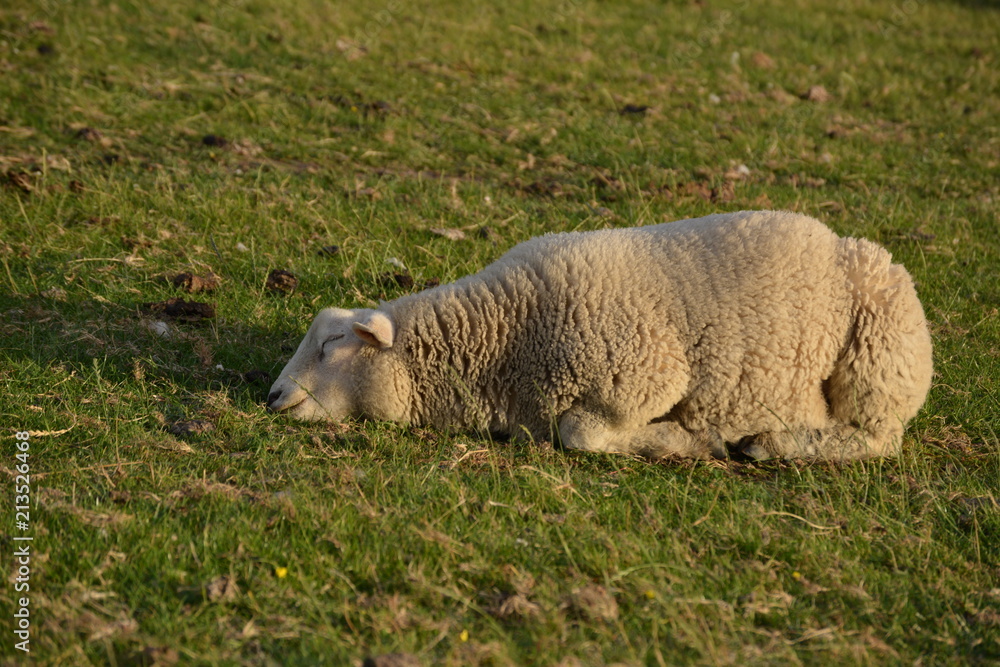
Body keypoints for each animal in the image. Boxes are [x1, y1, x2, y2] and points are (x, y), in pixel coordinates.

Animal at [264, 211, 928, 462]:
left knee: (879, 438)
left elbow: (580, 434)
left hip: (881, 350)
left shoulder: (648, 372)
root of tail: (840, 240)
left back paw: (776, 443)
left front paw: (683, 441)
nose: (272, 397)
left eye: (332, 344)